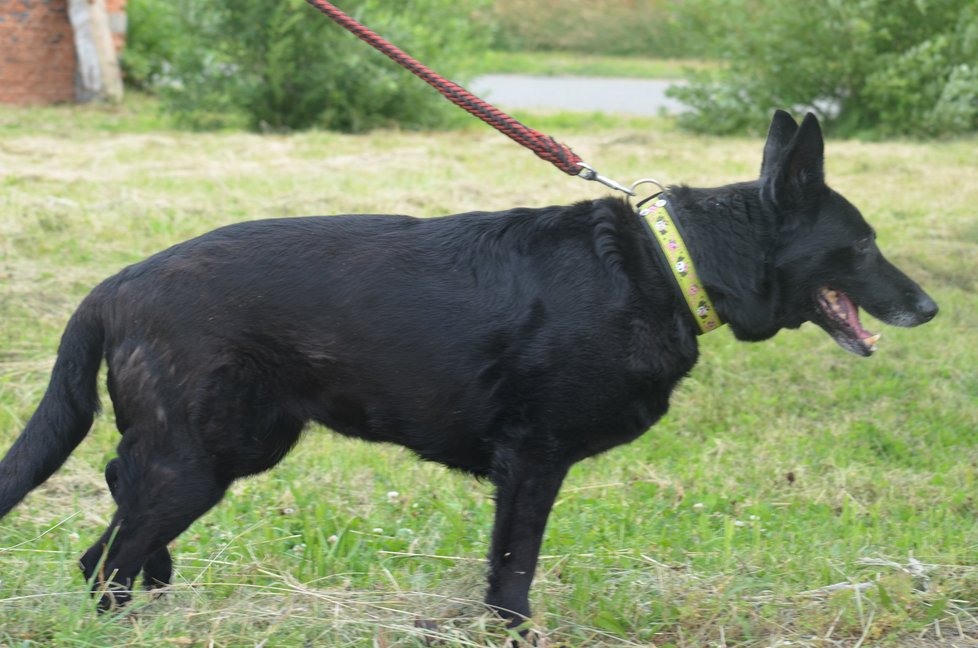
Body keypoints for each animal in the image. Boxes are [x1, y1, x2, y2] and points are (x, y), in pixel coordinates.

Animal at [0, 111, 936, 628]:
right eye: (863, 247)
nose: (928, 308)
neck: (671, 265)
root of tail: (114, 285)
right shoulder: (533, 462)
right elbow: (513, 570)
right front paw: (510, 631)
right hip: (204, 456)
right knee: (104, 558)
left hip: (234, 445)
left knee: (119, 503)